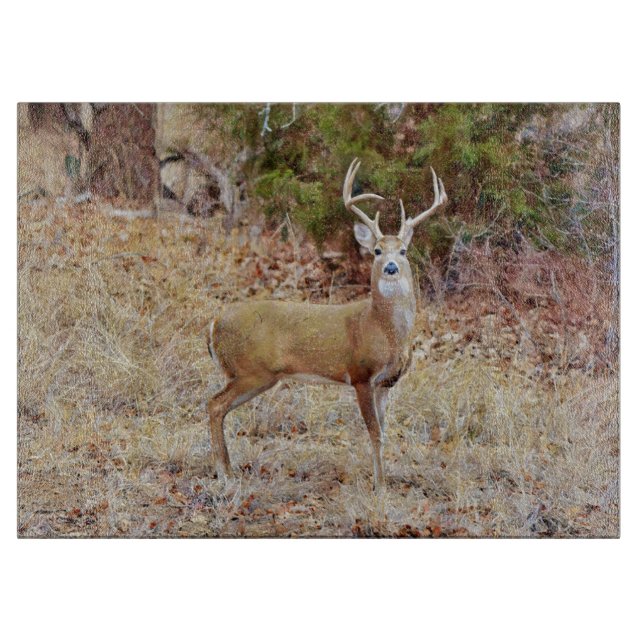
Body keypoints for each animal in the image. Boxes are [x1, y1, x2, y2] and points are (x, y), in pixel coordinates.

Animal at [206, 158, 447, 490]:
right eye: (376, 250)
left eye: (403, 250)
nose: (390, 267)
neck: (382, 329)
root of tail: (214, 323)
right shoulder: (360, 374)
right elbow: (374, 432)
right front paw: (379, 486)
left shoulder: (387, 383)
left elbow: (384, 432)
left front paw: (383, 478)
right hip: (250, 370)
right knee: (214, 405)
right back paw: (223, 473)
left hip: (255, 376)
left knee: (218, 407)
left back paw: (228, 469)